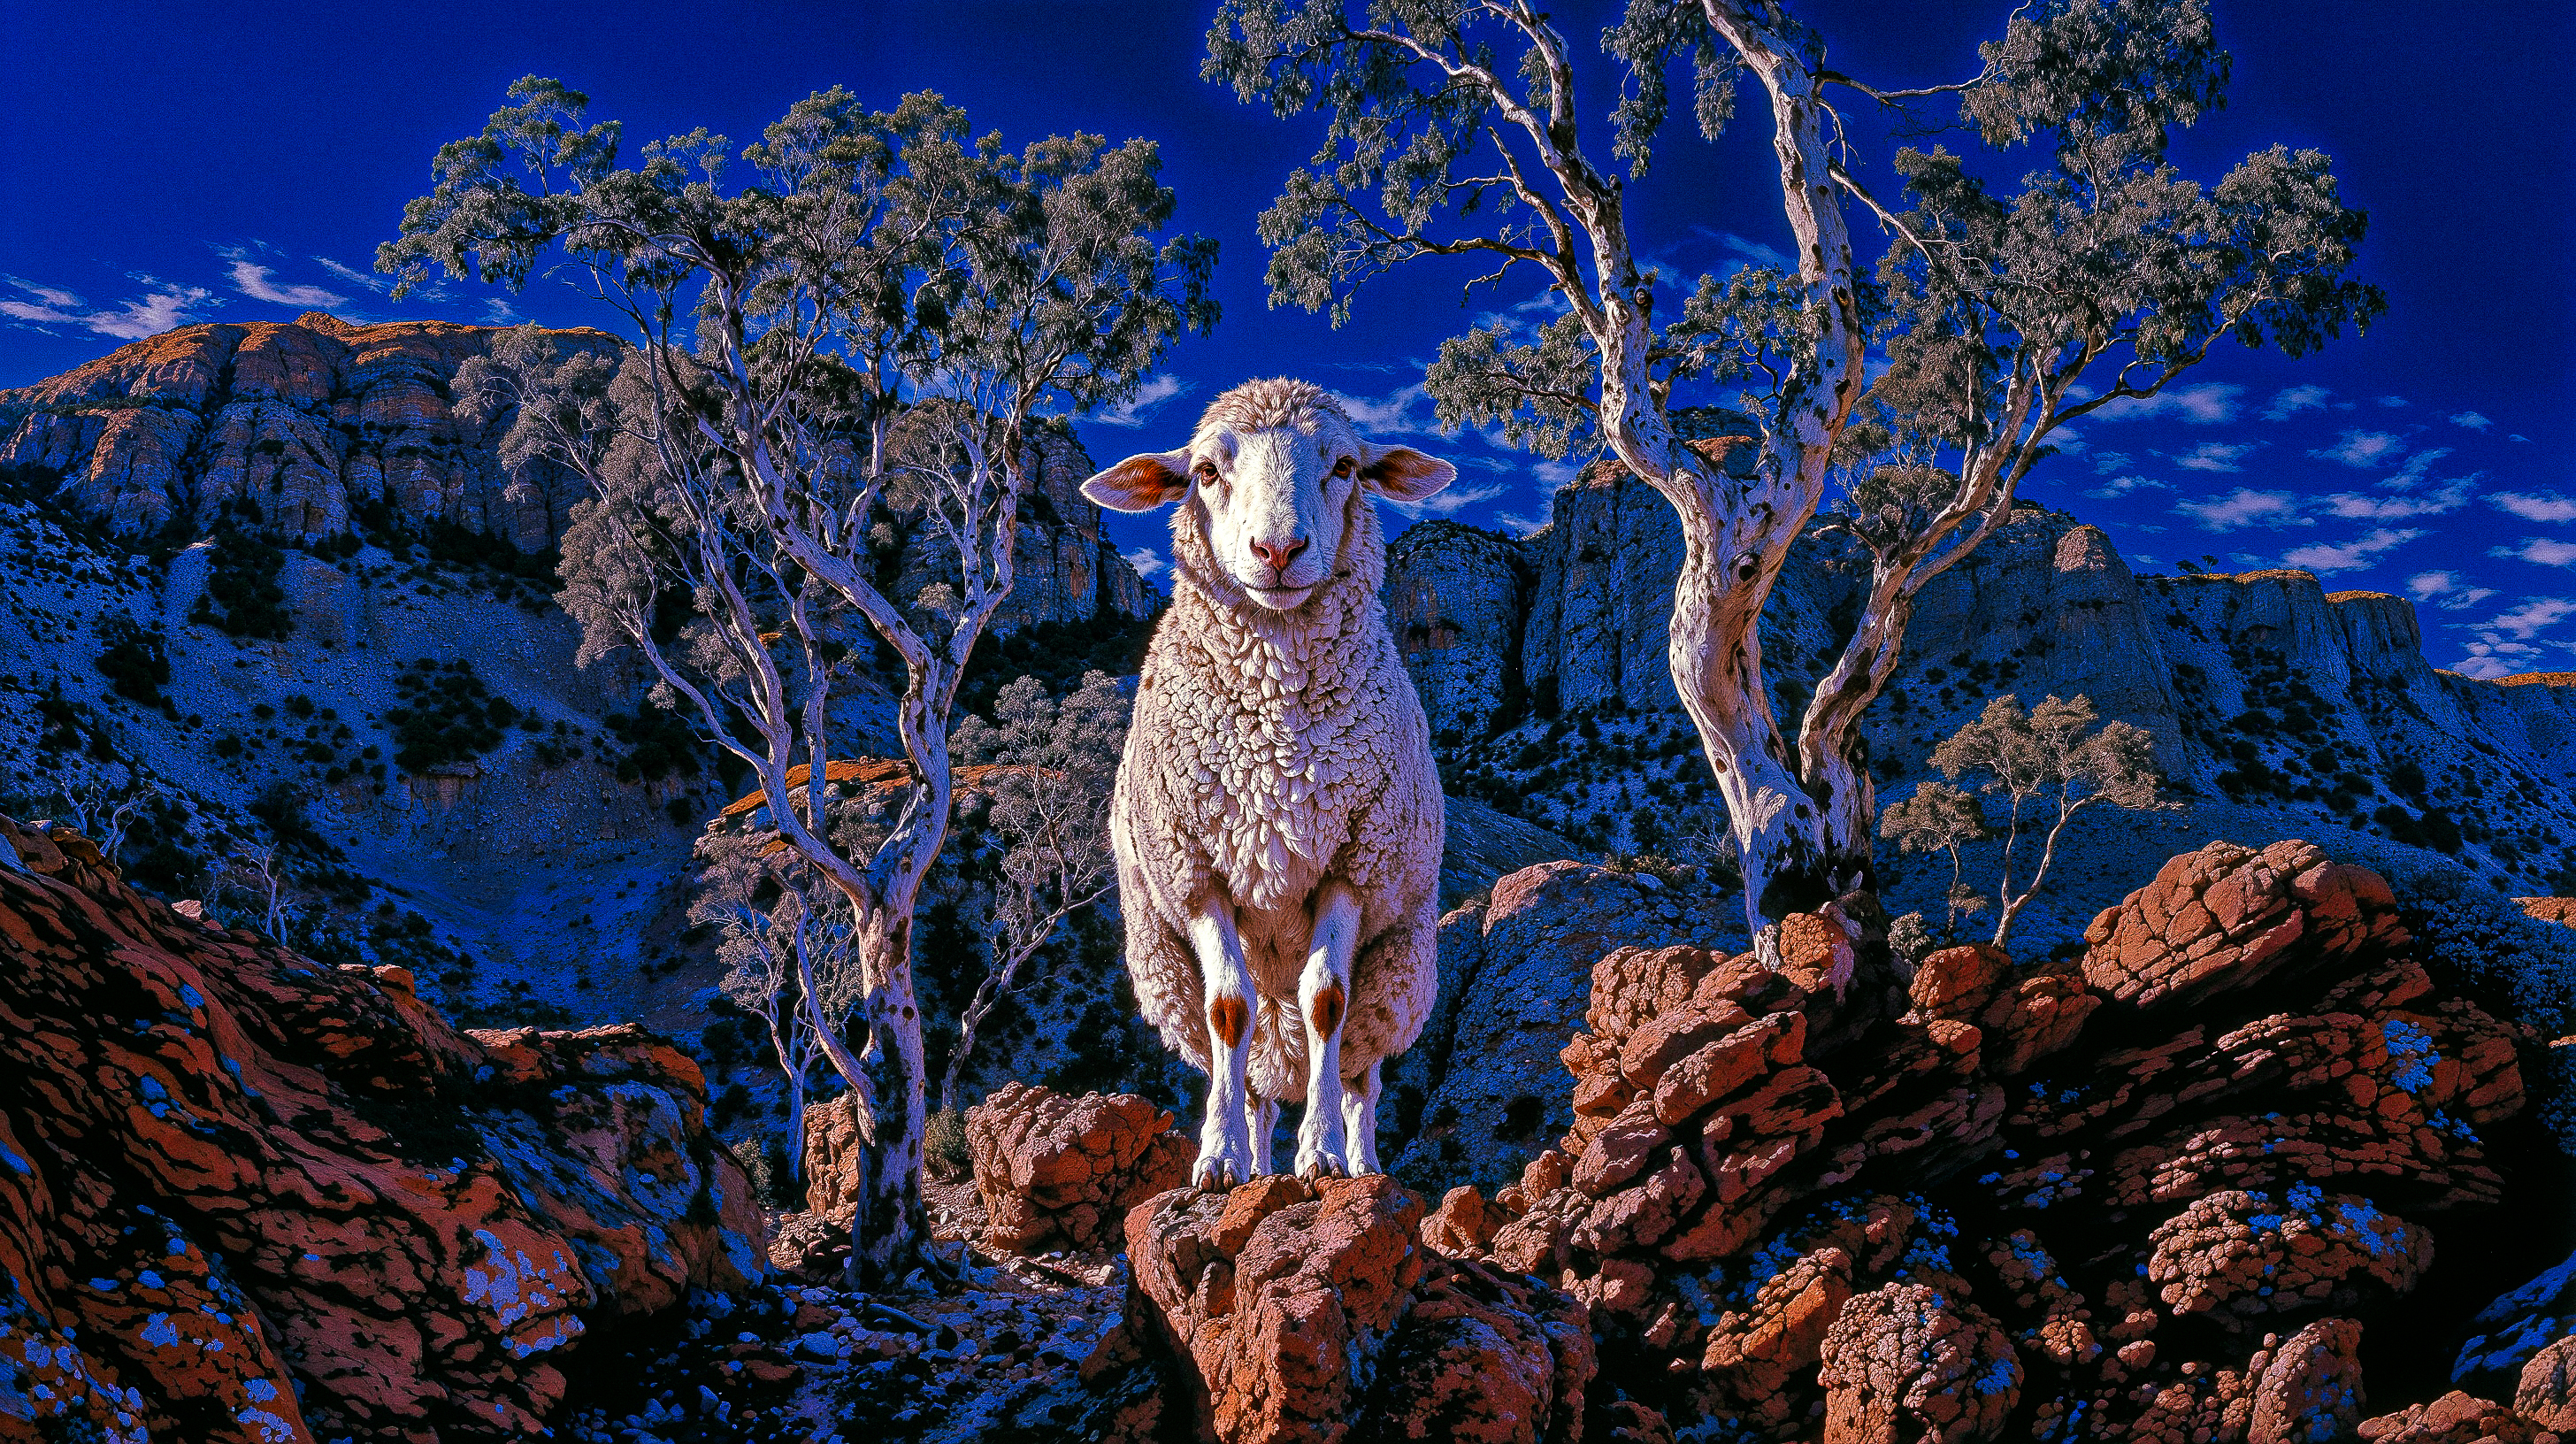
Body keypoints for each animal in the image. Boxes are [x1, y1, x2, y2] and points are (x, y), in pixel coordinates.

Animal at [1080, 377, 1453, 1188]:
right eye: (1205, 472)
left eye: (1344, 467)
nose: (1278, 551)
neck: (1274, 742)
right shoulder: (1196, 872)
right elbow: (1228, 1012)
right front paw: (1218, 1155)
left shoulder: (1355, 864)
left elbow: (1326, 1004)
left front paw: (1320, 1154)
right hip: (1169, 966)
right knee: (1254, 1069)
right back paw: (1251, 1158)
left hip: (1398, 969)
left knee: (1360, 1070)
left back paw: (1361, 1159)